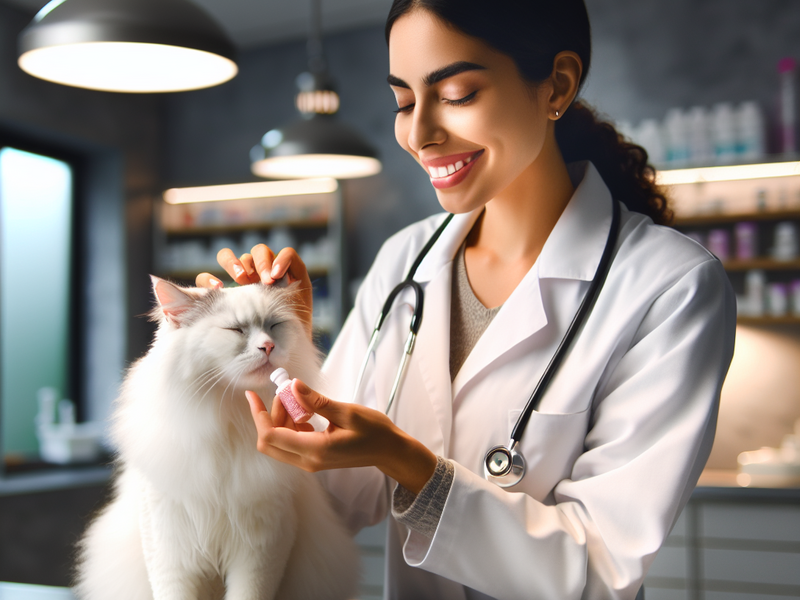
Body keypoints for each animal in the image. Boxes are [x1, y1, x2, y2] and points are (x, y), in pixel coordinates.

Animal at [76, 278, 360, 600]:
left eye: (274, 325)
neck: (230, 421)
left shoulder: (262, 548)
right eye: (235, 329)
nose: (268, 346)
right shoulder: (168, 549)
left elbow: (249, 594)